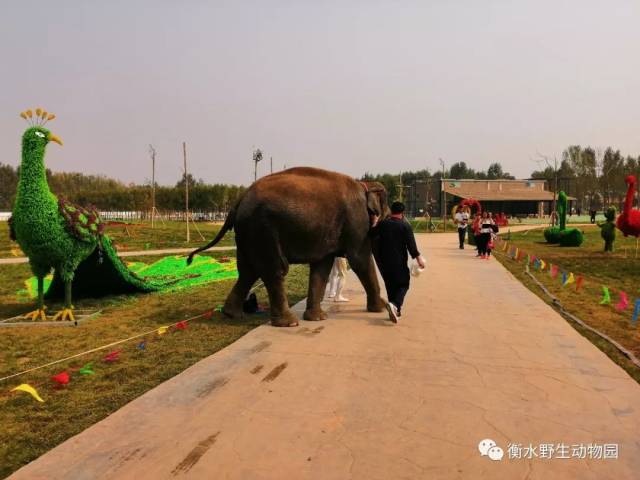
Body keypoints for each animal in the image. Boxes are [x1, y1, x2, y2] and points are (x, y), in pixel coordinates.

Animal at [188, 167, 388, 328]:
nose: (387, 304)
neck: (365, 185)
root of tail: (238, 201)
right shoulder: (357, 218)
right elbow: (360, 259)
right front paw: (382, 308)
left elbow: (322, 266)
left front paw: (317, 319)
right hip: (262, 228)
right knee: (274, 269)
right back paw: (289, 323)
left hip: (247, 233)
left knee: (247, 271)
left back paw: (232, 315)